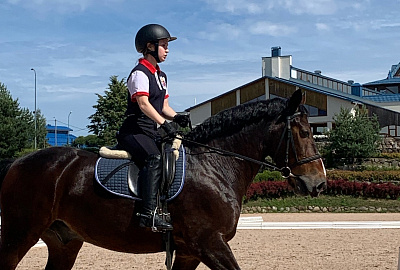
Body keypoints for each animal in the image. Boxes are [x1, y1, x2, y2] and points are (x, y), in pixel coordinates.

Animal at [0, 89, 324, 268]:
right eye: (304, 133)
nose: (319, 184)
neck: (214, 164)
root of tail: (18, 161)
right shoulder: (210, 244)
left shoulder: (190, 252)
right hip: (19, 235)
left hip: (64, 242)